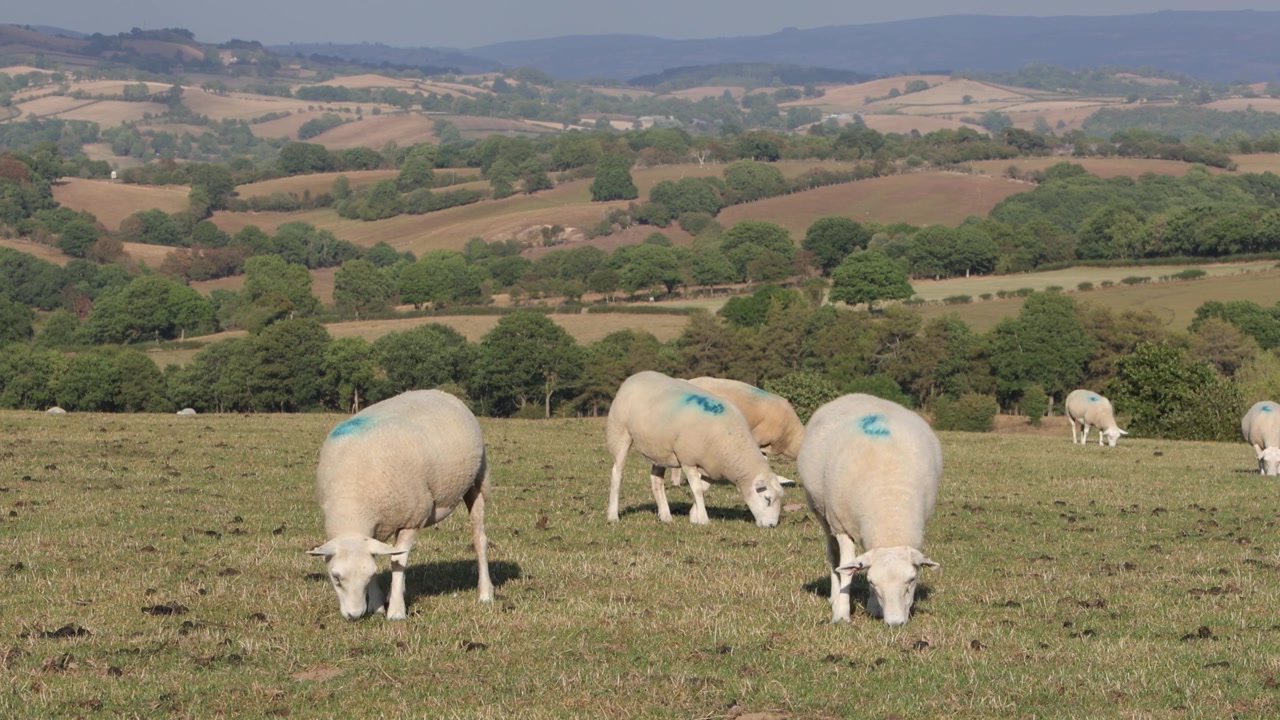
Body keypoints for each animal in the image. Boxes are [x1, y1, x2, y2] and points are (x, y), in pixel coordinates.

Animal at [307, 389, 493, 620]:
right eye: (336, 577)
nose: (355, 615)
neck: (353, 503)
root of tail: (440, 392)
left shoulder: (412, 518)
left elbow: (398, 562)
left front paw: (396, 611)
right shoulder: (375, 530)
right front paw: (377, 605)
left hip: (478, 483)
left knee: (479, 539)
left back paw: (485, 593)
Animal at [606, 371, 784, 527]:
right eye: (767, 499)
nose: (771, 525)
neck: (731, 444)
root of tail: (636, 376)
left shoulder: (711, 467)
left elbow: (702, 488)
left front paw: (694, 516)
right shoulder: (688, 460)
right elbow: (697, 489)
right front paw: (703, 519)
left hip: (659, 450)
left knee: (656, 480)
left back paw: (666, 516)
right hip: (620, 431)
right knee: (617, 473)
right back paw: (613, 515)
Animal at [797, 394, 940, 625]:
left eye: (912, 579)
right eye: (872, 582)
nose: (895, 623)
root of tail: (856, 395)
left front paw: (873, 607)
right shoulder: (842, 525)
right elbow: (847, 571)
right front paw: (841, 614)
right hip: (822, 512)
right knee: (834, 557)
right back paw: (834, 597)